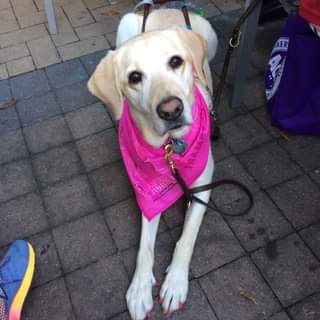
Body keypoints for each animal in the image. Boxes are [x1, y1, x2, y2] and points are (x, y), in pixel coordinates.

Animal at [87, 8, 218, 320]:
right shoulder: (147, 191)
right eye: (134, 77)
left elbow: (187, 236)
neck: (170, 149)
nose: (171, 110)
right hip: (125, 24)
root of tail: (167, 7)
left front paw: (175, 284)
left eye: (176, 61)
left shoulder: (203, 183)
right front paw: (140, 289)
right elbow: (145, 247)